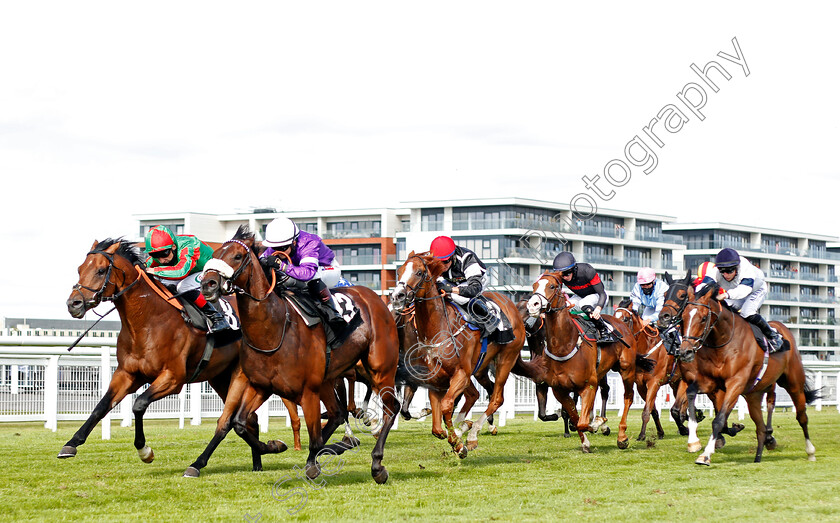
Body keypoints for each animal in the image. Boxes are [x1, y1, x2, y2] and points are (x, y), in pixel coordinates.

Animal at [65, 239, 302, 468]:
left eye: (101, 270)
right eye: (79, 269)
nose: (73, 304)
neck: (147, 321)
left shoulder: (173, 378)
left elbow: (139, 404)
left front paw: (145, 451)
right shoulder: (127, 374)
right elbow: (101, 406)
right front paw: (71, 444)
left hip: (239, 375)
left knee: (229, 420)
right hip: (220, 377)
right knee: (249, 418)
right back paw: (259, 462)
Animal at [195, 227, 398, 486]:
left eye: (238, 256)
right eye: (216, 253)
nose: (208, 284)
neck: (273, 331)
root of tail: (376, 299)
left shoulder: (308, 390)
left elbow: (313, 435)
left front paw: (311, 464)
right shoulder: (260, 385)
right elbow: (239, 423)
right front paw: (274, 445)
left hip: (380, 370)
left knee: (390, 407)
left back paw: (377, 464)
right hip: (328, 379)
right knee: (337, 413)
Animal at [388, 252, 524, 456]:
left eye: (419, 272)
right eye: (400, 271)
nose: (398, 296)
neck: (439, 327)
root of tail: (512, 305)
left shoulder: (460, 373)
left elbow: (446, 405)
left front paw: (458, 444)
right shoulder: (435, 379)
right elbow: (436, 426)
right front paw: (452, 434)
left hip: (505, 360)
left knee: (496, 398)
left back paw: (472, 434)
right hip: (478, 369)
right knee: (475, 394)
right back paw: (465, 427)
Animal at [516, 274, 648, 450]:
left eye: (552, 286)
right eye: (534, 285)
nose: (533, 305)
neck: (564, 345)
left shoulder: (587, 385)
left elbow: (581, 420)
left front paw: (597, 423)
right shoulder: (555, 387)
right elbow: (570, 416)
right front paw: (584, 438)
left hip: (626, 369)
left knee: (627, 397)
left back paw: (620, 436)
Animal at [676, 282, 820, 466]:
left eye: (702, 318)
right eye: (683, 318)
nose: (685, 352)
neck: (723, 342)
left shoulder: (735, 383)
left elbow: (718, 420)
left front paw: (706, 454)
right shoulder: (709, 382)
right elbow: (691, 394)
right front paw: (693, 442)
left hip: (793, 384)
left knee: (801, 416)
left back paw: (810, 451)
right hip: (754, 395)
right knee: (761, 427)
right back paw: (758, 456)